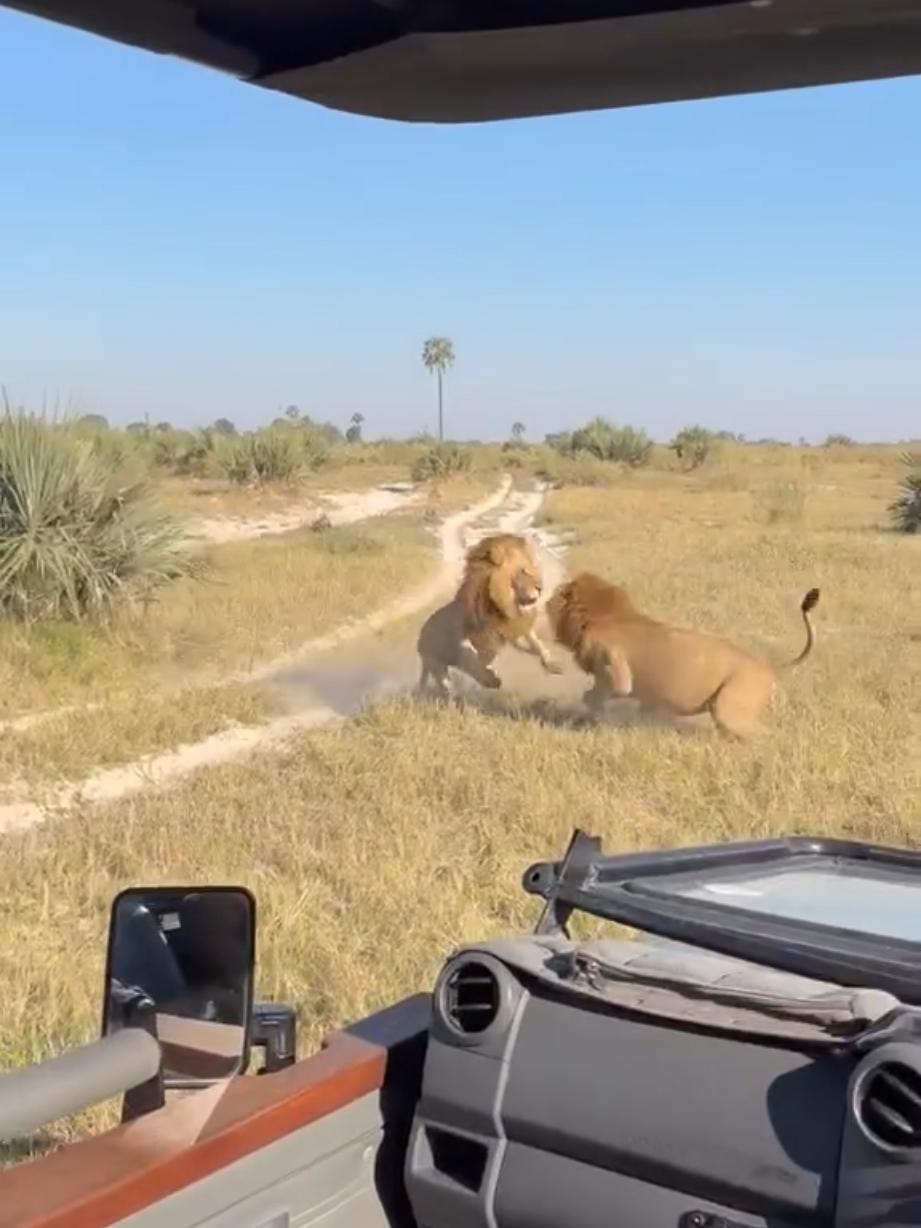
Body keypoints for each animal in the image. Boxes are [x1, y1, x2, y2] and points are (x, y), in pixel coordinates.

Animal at [416, 532, 563, 698]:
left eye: (534, 568)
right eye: (523, 571)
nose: (540, 588)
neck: (503, 605)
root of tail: (420, 636)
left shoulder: (514, 633)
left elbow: (538, 646)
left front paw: (552, 664)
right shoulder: (464, 639)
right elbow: (472, 659)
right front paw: (491, 681)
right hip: (435, 663)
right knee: (446, 686)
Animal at [545, 571, 820, 740]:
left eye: (560, 593)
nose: (545, 600)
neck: (603, 614)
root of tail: (766, 664)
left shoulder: (616, 673)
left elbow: (596, 695)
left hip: (728, 709)